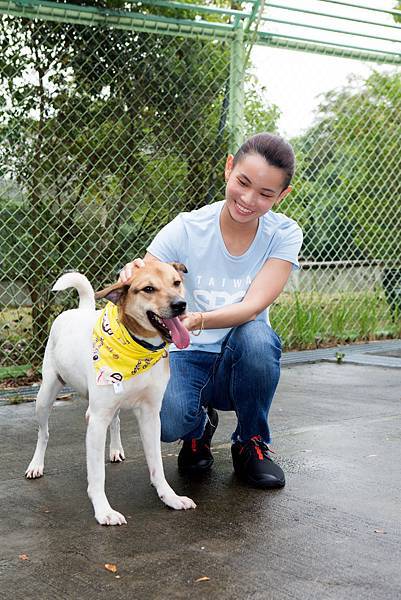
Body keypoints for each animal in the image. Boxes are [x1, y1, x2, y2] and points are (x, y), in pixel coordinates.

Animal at [25, 262, 195, 524]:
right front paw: (104, 511)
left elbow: (156, 464)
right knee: (43, 433)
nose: (180, 305)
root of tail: (80, 310)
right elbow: (97, 475)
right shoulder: (96, 420)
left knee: (115, 421)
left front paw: (170, 497)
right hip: (45, 396)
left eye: (176, 282)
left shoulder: (150, 415)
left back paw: (115, 449)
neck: (138, 348)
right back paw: (36, 465)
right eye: (148, 289)